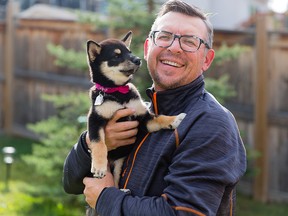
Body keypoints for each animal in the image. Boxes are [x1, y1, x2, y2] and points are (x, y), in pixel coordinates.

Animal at [85, 31, 186, 186]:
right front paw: (99, 167)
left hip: (119, 164)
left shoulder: (143, 119)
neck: (118, 92)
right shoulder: (95, 119)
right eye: (116, 56)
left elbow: (160, 118)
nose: (137, 60)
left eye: (129, 52)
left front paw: (175, 119)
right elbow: (99, 143)